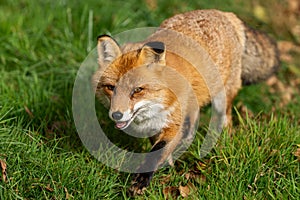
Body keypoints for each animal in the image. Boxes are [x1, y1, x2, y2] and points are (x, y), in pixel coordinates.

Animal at [92, 9, 280, 195]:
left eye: (138, 90)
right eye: (111, 88)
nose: (116, 115)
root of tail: (222, 13)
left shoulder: (174, 123)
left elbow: (156, 153)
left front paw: (141, 181)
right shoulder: (156, 126)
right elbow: (158, 147)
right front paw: (168, 166)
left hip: (222, 98)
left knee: (225, 120)